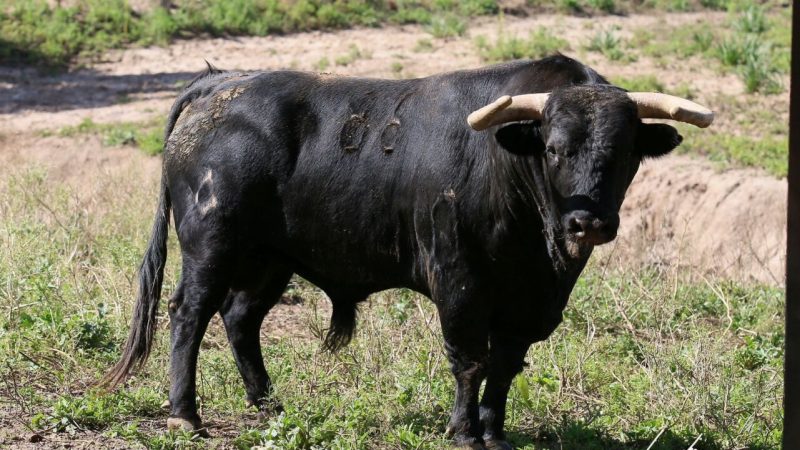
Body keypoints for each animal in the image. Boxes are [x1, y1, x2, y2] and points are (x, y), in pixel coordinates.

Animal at [103, 54, 708, 448]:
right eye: (555, 148)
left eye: (627, 151)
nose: (588, 222)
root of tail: (220, 83)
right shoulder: (459, 281)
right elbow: (470, 359)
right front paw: (464, 432)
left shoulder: (531, 303)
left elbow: (505, 366)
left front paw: (495, 431)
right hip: (211, 245)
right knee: (189, 312)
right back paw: (185, 414)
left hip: (270, 261)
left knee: (239, 319)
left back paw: (268, 403)